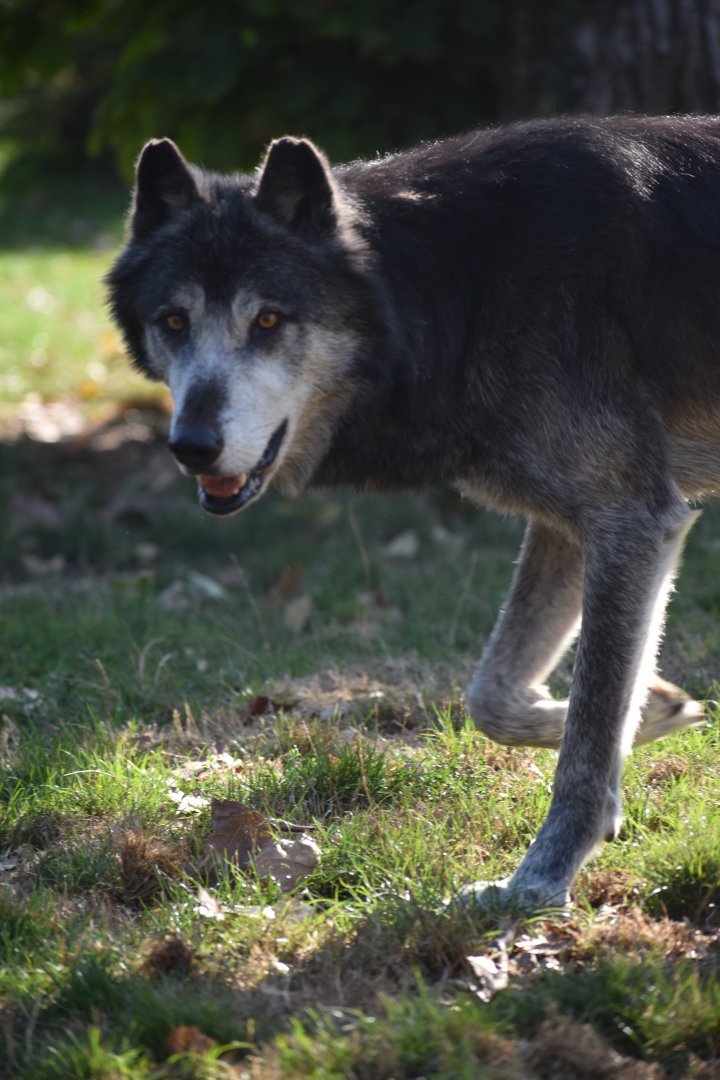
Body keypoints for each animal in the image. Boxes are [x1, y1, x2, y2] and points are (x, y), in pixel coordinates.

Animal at [107, 115, 719, 909]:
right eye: (174, 321)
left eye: (268, 320)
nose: (192, 446)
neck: (458, 284)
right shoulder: (574, 524)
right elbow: (493, 696)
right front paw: (653, 708)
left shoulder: (632, 518)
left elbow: (586, 738)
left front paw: (537, 883)